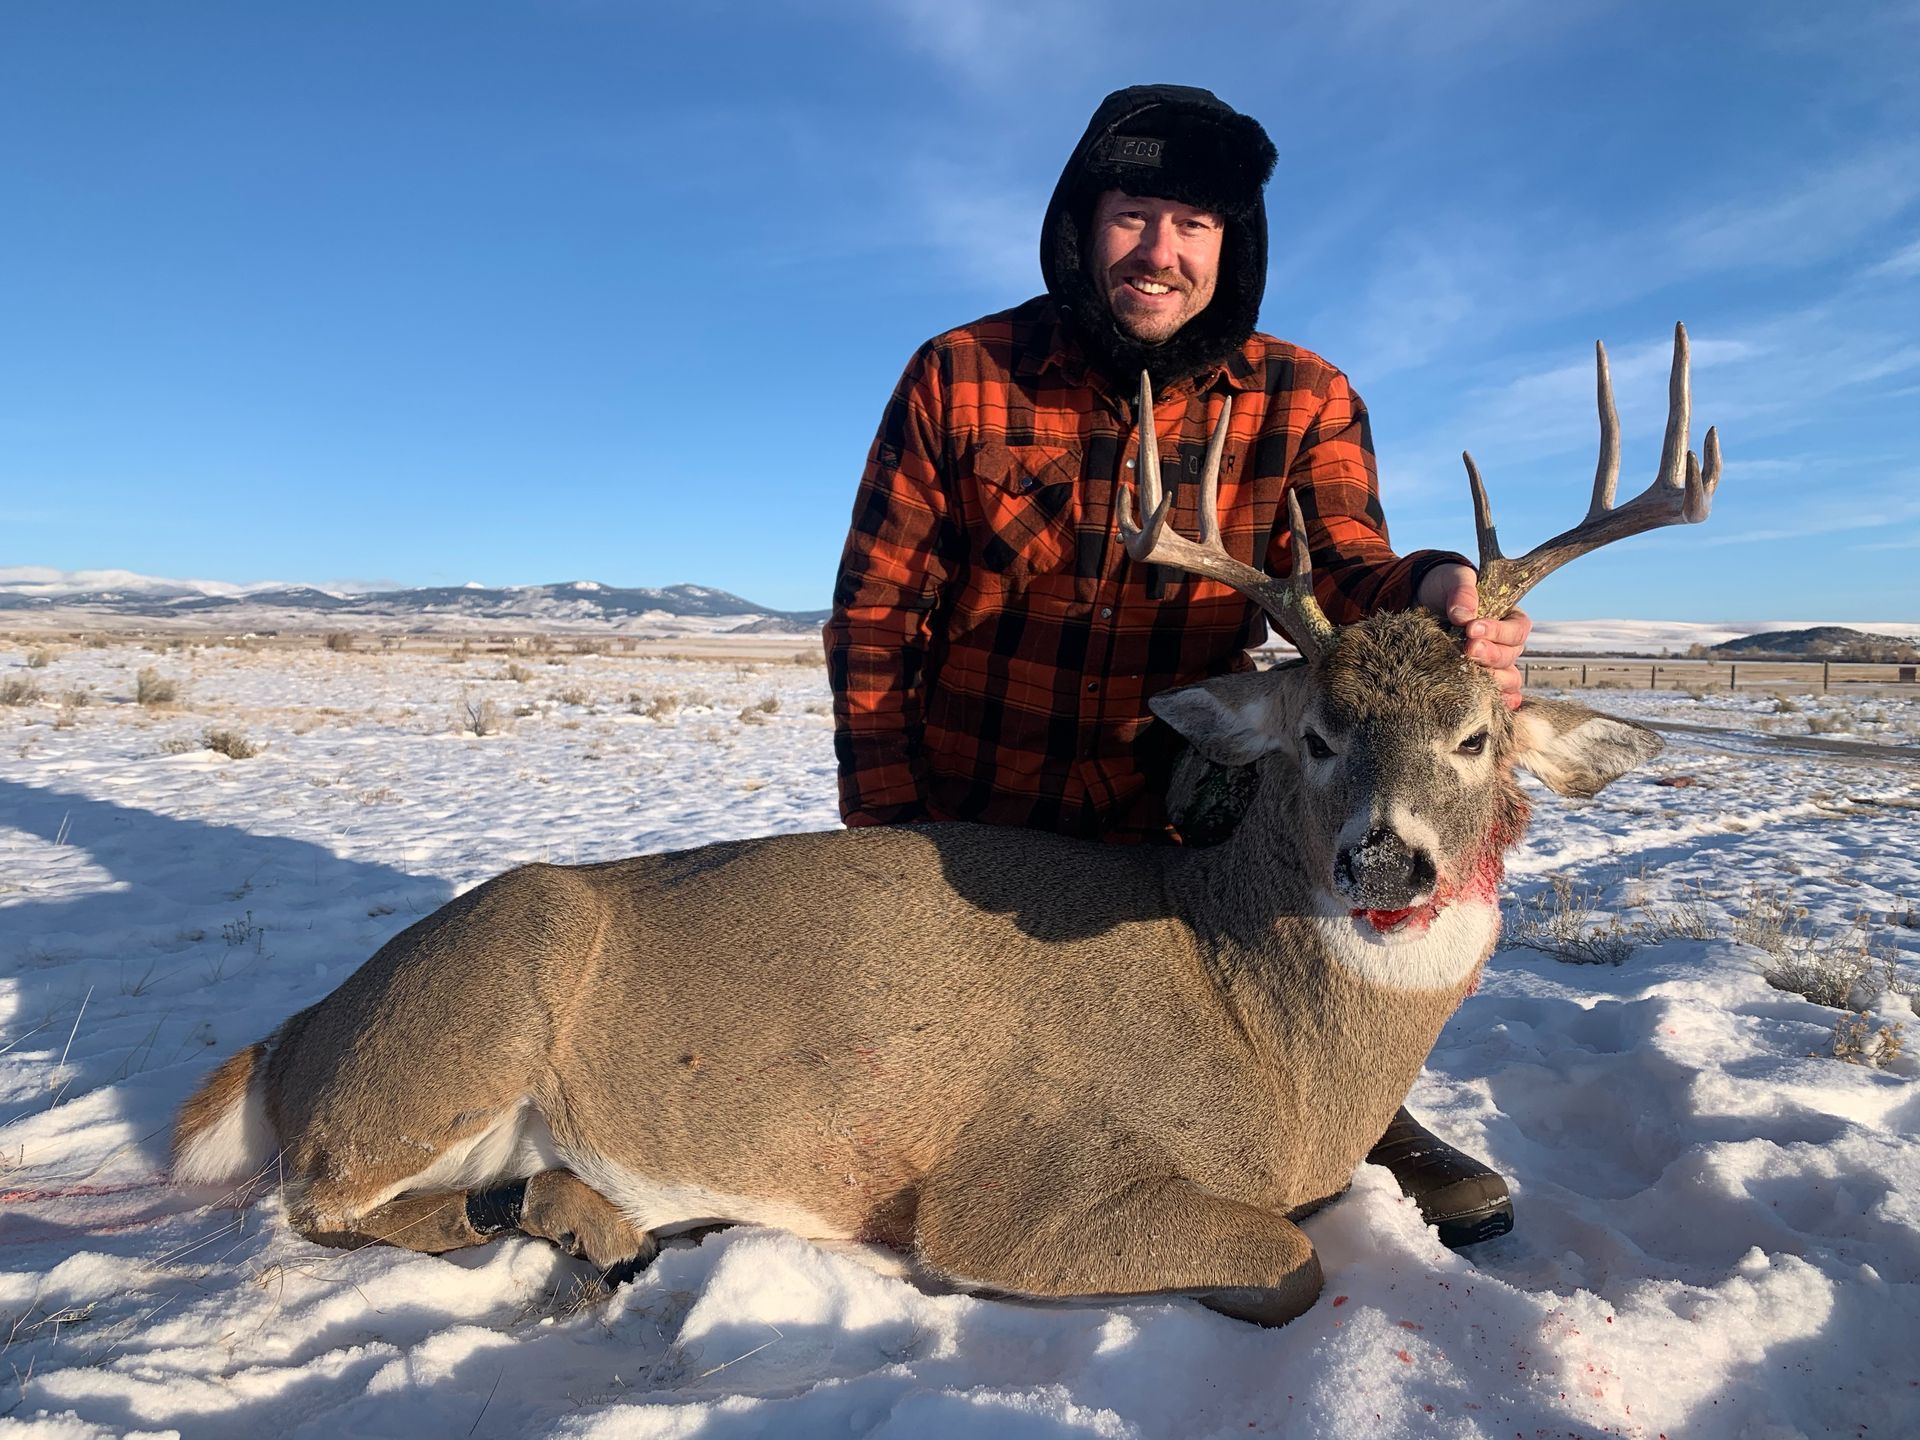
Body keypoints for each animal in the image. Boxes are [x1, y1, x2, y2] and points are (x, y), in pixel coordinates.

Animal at [173, 325, 1721, 1327]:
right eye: (1318, 735)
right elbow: (1287, 1264)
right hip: (481, 993)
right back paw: (585, 1224)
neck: (1271, 1047)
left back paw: (606, 1220)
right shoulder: (1021, 1185)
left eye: (1476, 736)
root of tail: (298, 1034)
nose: (1384, 855)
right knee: (316, 1197)